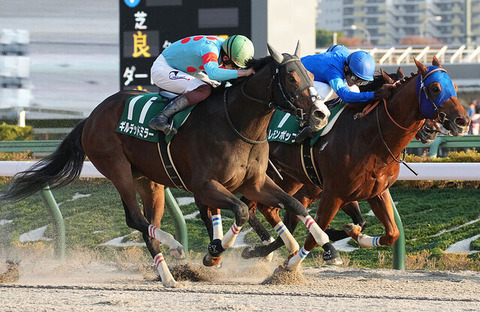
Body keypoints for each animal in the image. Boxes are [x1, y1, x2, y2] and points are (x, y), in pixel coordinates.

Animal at [1, 43, 336, 286]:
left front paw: (324, 246)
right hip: (117, 168)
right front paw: (215, 252)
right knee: (135, 219)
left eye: (310, 75)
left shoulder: (254, 183)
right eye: (291, 77)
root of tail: (91, 117)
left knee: (148, 224)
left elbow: (295, 203)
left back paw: (167, 275)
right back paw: (174, 247)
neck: (238, 123)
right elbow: (241, 210)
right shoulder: (204, 185)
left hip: (149, 181)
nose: (320, 114)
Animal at [240, 56, 468, 268]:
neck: (370, 137)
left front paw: (355, 234)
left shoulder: (373, 192)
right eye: (435, 88)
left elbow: (388, 231)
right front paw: (300, 262)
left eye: (455, 87)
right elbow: (314, 233)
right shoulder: (332, 194)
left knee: (265, 208)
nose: (463, 121)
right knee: (253, 207)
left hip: (286, 178)